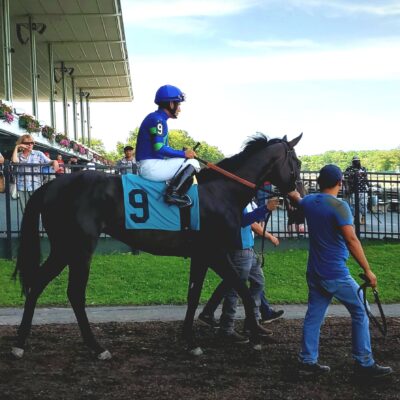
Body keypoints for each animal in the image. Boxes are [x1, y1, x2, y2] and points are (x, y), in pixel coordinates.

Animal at [11, 133, 300, 358]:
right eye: (296, 162)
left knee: (38, 283)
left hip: (64, 248)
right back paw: (96, 347)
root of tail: (51, 186)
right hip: (78, 247)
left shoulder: (201, 255)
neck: (221, 191)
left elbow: (194, 295)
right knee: (73, 292)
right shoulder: (215, 252)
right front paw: (256, 337)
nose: (298, 196)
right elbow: (242, 288)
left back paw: (20, 343)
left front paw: (190, 341)